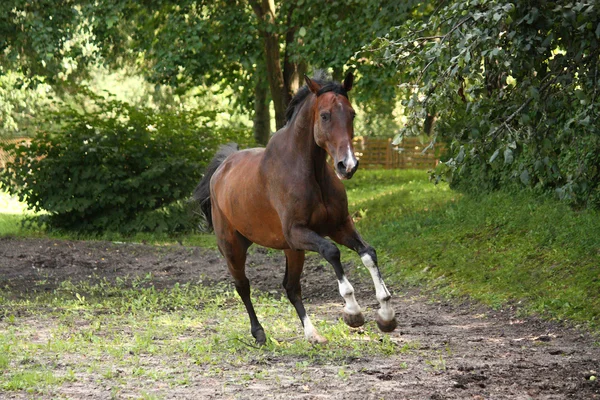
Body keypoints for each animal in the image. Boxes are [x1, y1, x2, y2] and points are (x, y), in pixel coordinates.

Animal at [195, 72, 396, 344]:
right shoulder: (298, 232)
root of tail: (222, 167)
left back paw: (313, 334)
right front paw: (353, 312)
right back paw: (259, 333)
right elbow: (331, 252)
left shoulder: (339, 226)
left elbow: (368, 253)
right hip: (233, 247)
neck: (310, 172)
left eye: (352, 113)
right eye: (325, 115)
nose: (348, 165)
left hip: (292, 250)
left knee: (291, 288)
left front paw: (386, 316)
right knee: (243, 286)